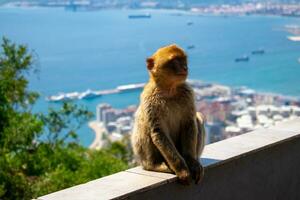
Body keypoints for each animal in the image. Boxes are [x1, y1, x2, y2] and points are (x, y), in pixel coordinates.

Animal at [132, 43, 206, 184]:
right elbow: (158, 131)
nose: (185, 67)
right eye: (175, 61)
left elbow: (189, 124)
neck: (169, 89)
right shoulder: (149, 98)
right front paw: (182, 170)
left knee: (198, 119)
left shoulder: (188, 93)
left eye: (183, 59)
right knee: (144, 126)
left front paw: (191, 163)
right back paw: (154, 165)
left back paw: (196, 160)